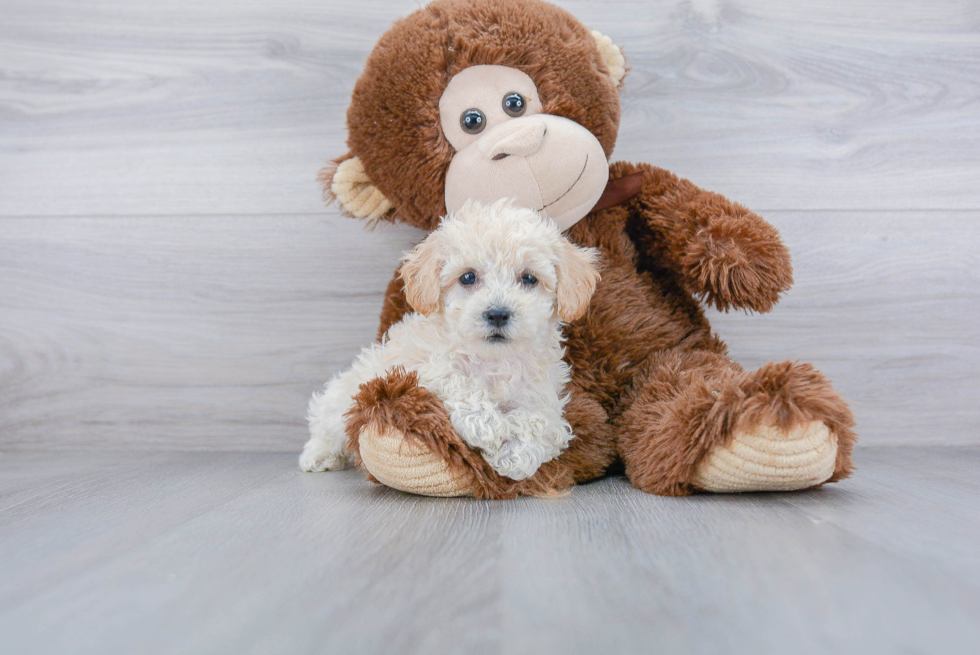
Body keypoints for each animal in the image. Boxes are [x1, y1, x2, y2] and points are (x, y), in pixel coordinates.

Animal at [302, 200, 600, 482]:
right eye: (468, 277)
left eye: (529, 278)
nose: (497, 313)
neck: (493, 361)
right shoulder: (415, 372)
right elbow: (456, 380)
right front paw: (489, 426)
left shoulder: (542, 397)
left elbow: (539, 421)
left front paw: (513, 454)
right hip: (341, 399)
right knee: (326, 427)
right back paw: (318, 456)